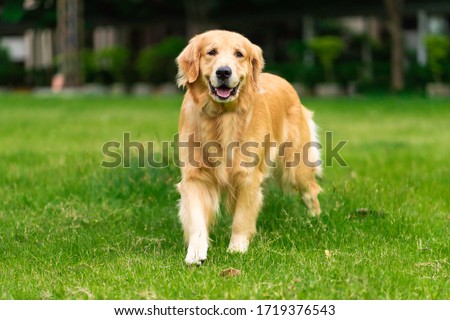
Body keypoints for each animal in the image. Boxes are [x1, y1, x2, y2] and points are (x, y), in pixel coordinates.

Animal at [177, 30, 324, 264]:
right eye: (211, 52)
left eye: (239, 54)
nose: (224, 72)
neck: (221, 117)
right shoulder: (195, 175)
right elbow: (197, 219)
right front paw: (195, 252)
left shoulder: (247, 176)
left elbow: (242, 217)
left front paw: (237, 248)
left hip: (296, 165)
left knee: (310, 190)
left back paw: (315, 220)